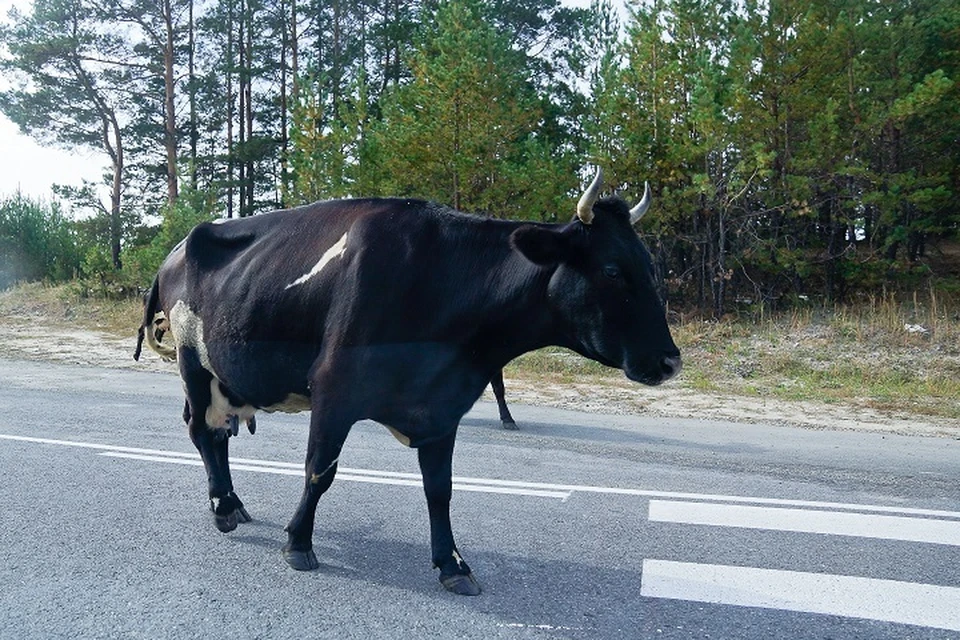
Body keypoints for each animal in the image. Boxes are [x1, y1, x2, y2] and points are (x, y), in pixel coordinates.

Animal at [133, 169, 684, 596]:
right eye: (612, 269)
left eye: (650, 267)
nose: (670, 360)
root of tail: (176, 249)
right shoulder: (333, 390)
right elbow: (319, 471)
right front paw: (298, 543)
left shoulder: (441, 406)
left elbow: (440, 490)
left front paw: (452, 565)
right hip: (193, 361)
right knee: (202, 431)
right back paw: (223, 508)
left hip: (228, 375)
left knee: (217, 432)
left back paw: (235, 503)